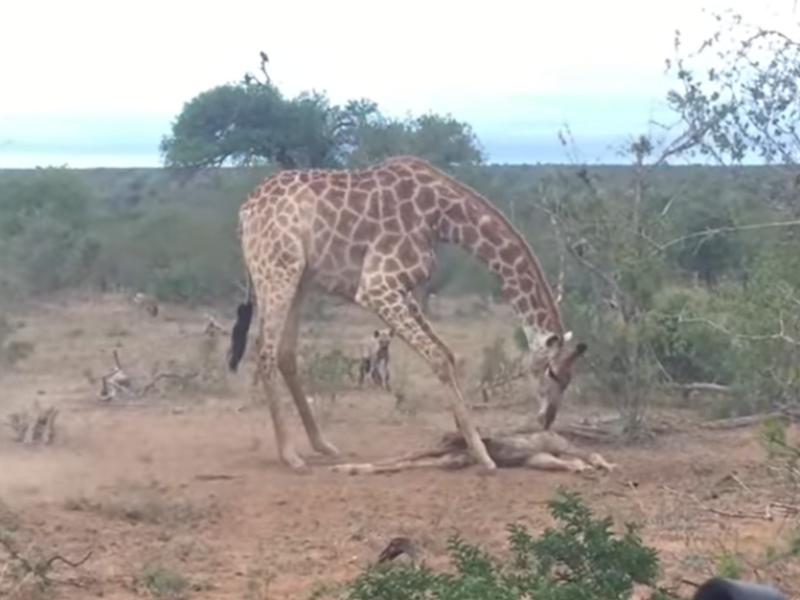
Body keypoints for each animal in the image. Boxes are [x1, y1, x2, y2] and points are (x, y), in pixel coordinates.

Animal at [227, 155, 587, 473]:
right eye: (552, 372)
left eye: (570, 378)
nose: (547, 419)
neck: (442, 216)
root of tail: (244, 213)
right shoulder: (376, 286)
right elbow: (439, 359)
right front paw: (483, 456)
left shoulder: (404, 288)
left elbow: (447, 353)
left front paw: (463, 436)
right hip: (277, 270)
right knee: (264, 349)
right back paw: (290, 455)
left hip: (300, 277)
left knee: (285, 353)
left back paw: (322, 444)